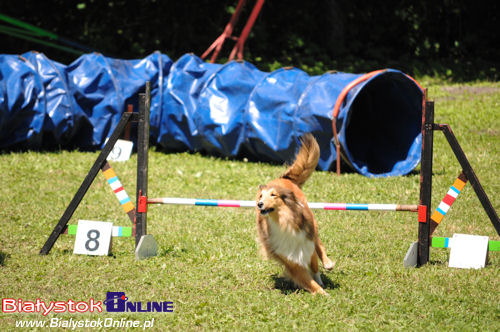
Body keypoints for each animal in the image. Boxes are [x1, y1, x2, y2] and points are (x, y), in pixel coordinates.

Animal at [256, 134, 334, 294]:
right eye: (261, 196)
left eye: (273, 195)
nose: (259, 204)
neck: (283, 221)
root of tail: (283, 179)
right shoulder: (289, 258)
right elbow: (306, 279)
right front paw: (321, 292)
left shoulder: (306, 242)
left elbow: (314, 266)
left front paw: (321, 284)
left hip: (312, 223)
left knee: (319, 243)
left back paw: (328, 263)